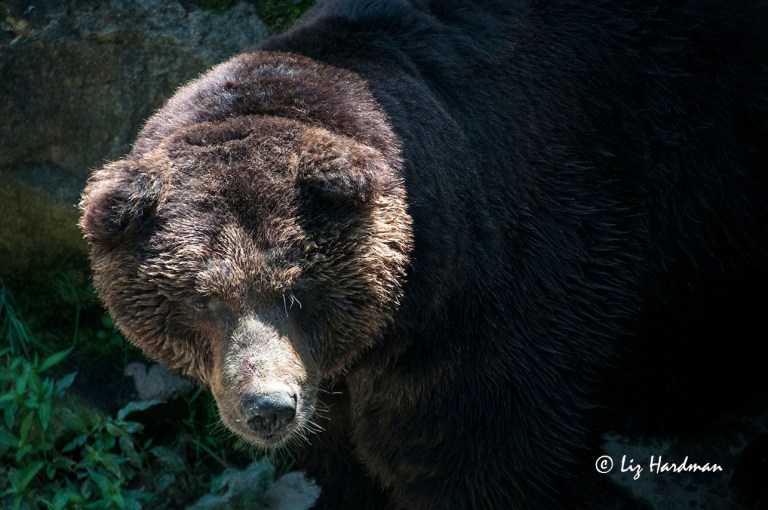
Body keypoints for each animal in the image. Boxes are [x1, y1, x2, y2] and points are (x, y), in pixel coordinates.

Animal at [79, 0, 768, 508]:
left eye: (297, 289)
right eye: (203, 297)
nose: (270, 407)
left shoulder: (523, 277)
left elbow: (482, 453)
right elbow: (340, 462)